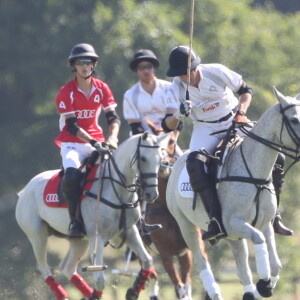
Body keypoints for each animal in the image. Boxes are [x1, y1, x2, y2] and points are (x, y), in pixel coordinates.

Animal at [15, 133, 168, 300]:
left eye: (160, 158)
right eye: (143, 158)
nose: (151, 194)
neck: (117, 189)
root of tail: (24, 190)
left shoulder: (129, 230)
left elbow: (147, 261)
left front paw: (133, 290)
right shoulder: (97, 237)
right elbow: (100, 280)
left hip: (79, 240)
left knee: (68, 267)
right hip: (37, 235)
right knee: (43, 268)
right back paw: (63, 295)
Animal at [165, 88, 300, 300]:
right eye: (294, 119)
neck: (255, 175)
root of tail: (177, 161)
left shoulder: (264, 224)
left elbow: (276, 264)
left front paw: (264, 286)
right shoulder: (232, 222)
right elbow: (259, 241)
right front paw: (264, 283)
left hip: (231, 236)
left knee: (242, 266)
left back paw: (248, 292)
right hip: (186, 224)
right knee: (200, 260)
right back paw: (214, 293)